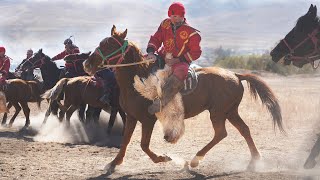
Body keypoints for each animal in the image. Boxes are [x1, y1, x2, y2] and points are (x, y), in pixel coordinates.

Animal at [83, 25, 284, 173]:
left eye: (110, 46)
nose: (87, 64)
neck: (138, 80)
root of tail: (235, 75)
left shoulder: (147, 120)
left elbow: (143, 145)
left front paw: (163, 158)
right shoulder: (131, 117)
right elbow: (125, 141)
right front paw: (113, 163)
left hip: (218, 112)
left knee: (221, 133)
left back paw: (194, 160)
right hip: (230, 111)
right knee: (244, 130)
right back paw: (254, 161)